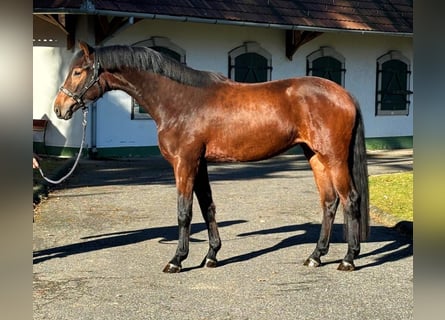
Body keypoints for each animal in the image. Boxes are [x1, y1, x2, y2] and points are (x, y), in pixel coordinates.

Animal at [53, 40, 370, 272]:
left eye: (78, 72)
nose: (59, 108)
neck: (180, 101)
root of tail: (345, 94)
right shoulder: (200, 164)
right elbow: (208, 207)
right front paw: (212, 256)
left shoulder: (184, 163)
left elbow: (184, 211)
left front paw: (177, 260)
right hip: (315, 156)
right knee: (329, 202)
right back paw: (316, 255)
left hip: (333, 158)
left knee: (350, 199)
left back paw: (348, 258)